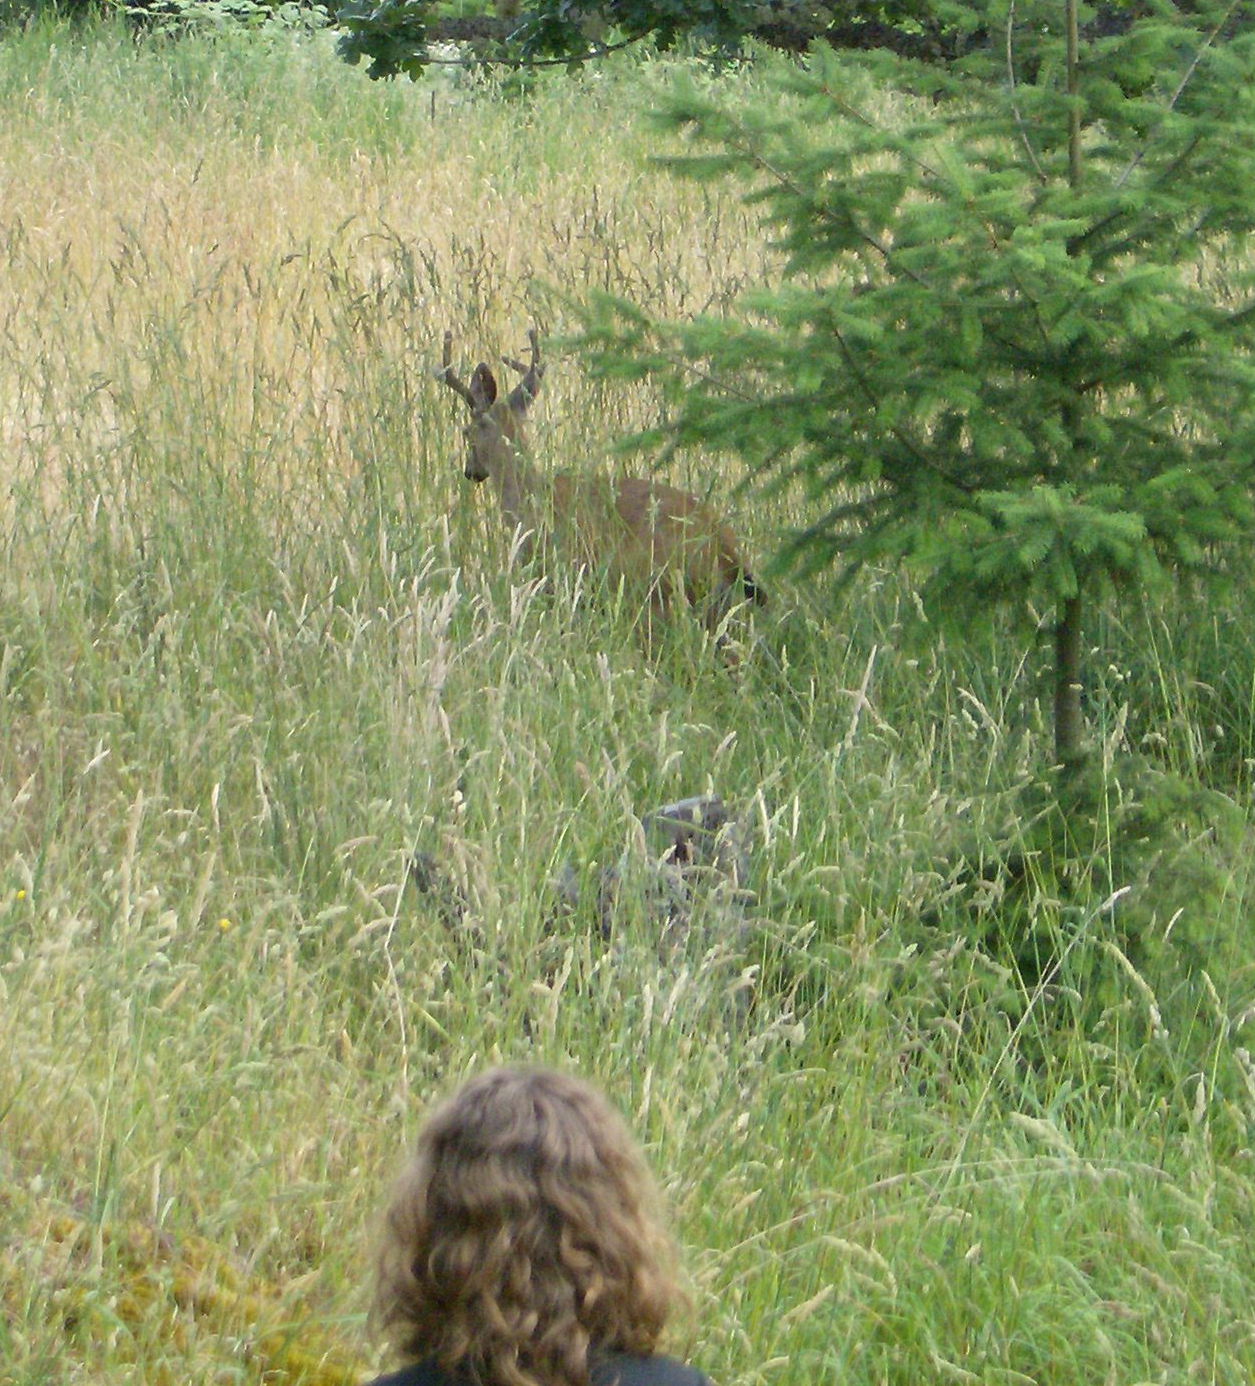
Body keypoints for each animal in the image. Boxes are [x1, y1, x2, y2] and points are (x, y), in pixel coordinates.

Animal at [438, 324, 765, 634]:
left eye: (466, 432)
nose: (470, 471)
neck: (529, 494)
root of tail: (727, 548)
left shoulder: (555, 573)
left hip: (657, 592)